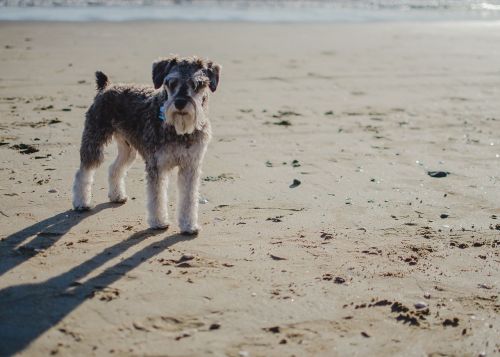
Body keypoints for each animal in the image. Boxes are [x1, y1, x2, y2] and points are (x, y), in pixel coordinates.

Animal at [71, 55, 220, 234]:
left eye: (197, 84)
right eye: (171, 83)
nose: (180, 103)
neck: (179, 130)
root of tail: (105, 87)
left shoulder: (190, 166)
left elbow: (189, 198)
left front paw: (189, 226)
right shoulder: (156, 165)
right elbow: (156, 197)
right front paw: (158, 222)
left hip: (128, 149)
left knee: (114, 168)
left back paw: (117, 196)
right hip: (94, 140)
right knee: (84, 171)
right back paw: (81, 203)